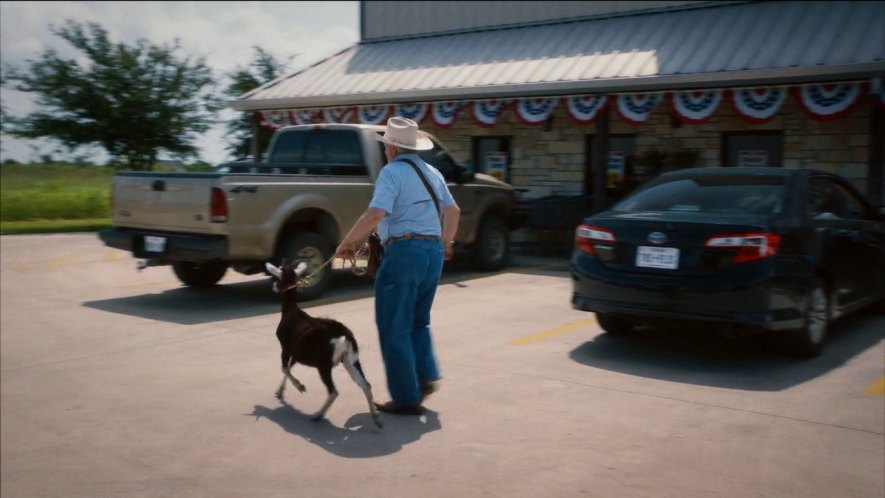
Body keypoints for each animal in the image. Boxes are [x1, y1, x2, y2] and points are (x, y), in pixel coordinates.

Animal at [266, 260, 384, 428]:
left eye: (277, 277)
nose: (273, 287)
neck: (290, 311)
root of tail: (346, 336)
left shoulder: (285, 348)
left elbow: (284, 368)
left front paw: (300, 386)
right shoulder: (297, 353)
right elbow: (288, 368)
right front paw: (280, 391)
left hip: (324, 365)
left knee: (333, 391)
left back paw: (318, 415)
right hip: (351, 361)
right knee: (366, 385)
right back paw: (377, 419)